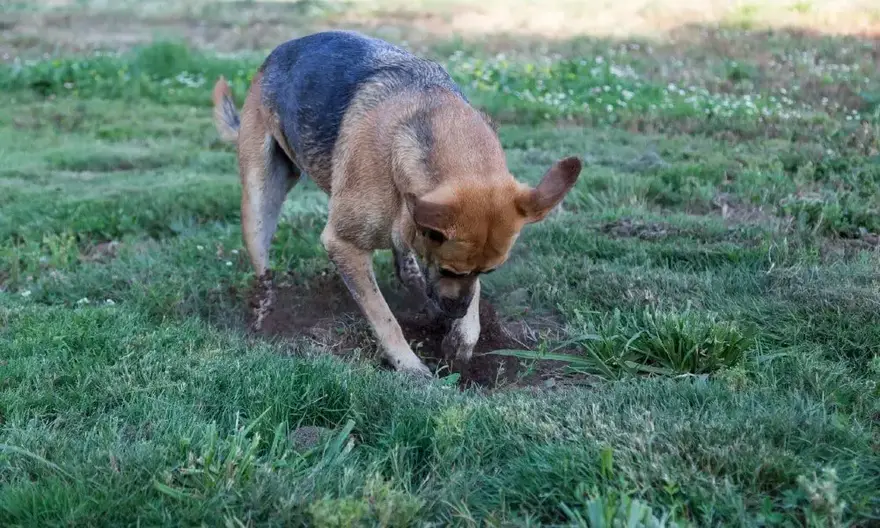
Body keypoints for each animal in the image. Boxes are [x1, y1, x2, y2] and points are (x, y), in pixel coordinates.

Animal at [212, 31, 580, 376]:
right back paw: (265, 313)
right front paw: (409, 366)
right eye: (449, 270)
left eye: (488, 271)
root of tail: (278, 53)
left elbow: (470, 296)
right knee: (264, 269)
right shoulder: (342, 244)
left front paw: (463, 336)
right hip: (259, 201)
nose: (455, 312)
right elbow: (383, 316)